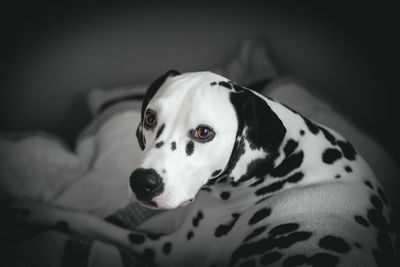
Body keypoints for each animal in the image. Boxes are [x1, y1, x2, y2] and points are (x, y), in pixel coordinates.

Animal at [6, 70, 396, 266]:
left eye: (204, 132)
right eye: (150, 118)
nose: (143, 183)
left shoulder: (167, 251)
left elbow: (88, 221)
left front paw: (27, 208)